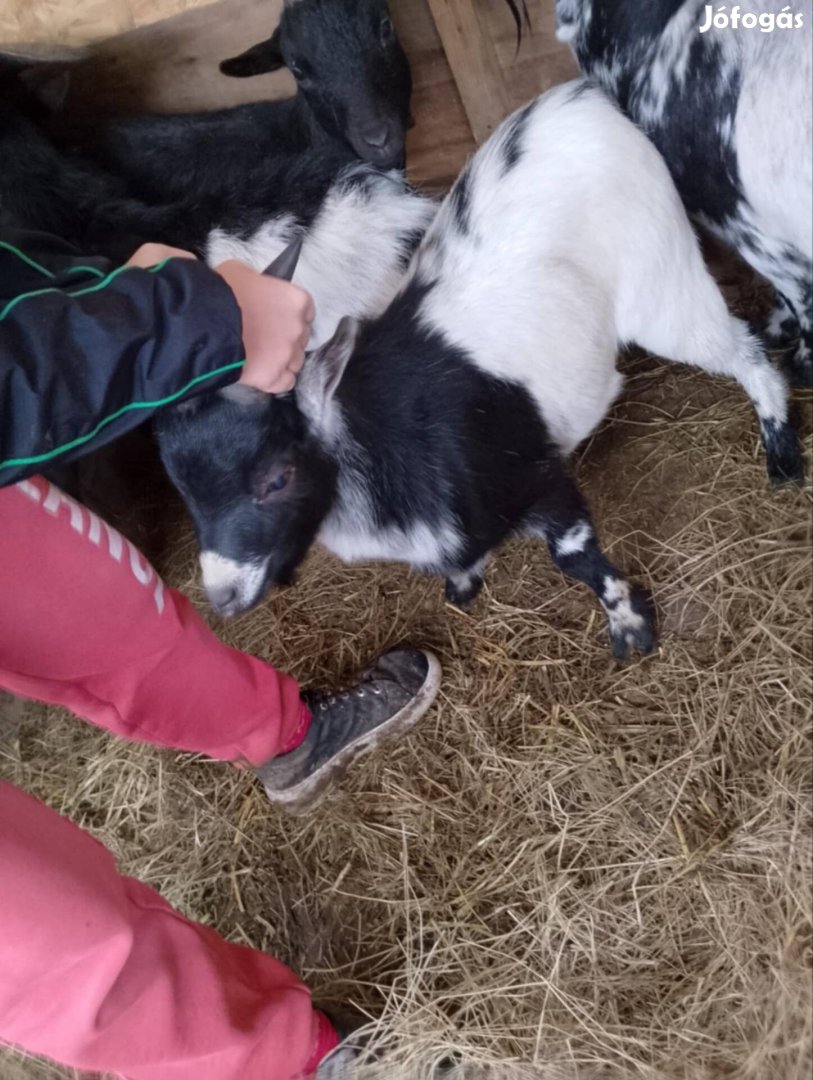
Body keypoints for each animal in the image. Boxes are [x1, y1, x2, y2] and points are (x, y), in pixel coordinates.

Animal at [155, 82, 803, 656]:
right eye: (182, 492)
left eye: (276, 477)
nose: (224, 596)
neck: (386, 442)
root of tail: (582, 98)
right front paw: (466, 582)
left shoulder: (539, 476)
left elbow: (574, 556)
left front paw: (630, 627)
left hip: (663, 282)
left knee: (742, 348)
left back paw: (781, 450)